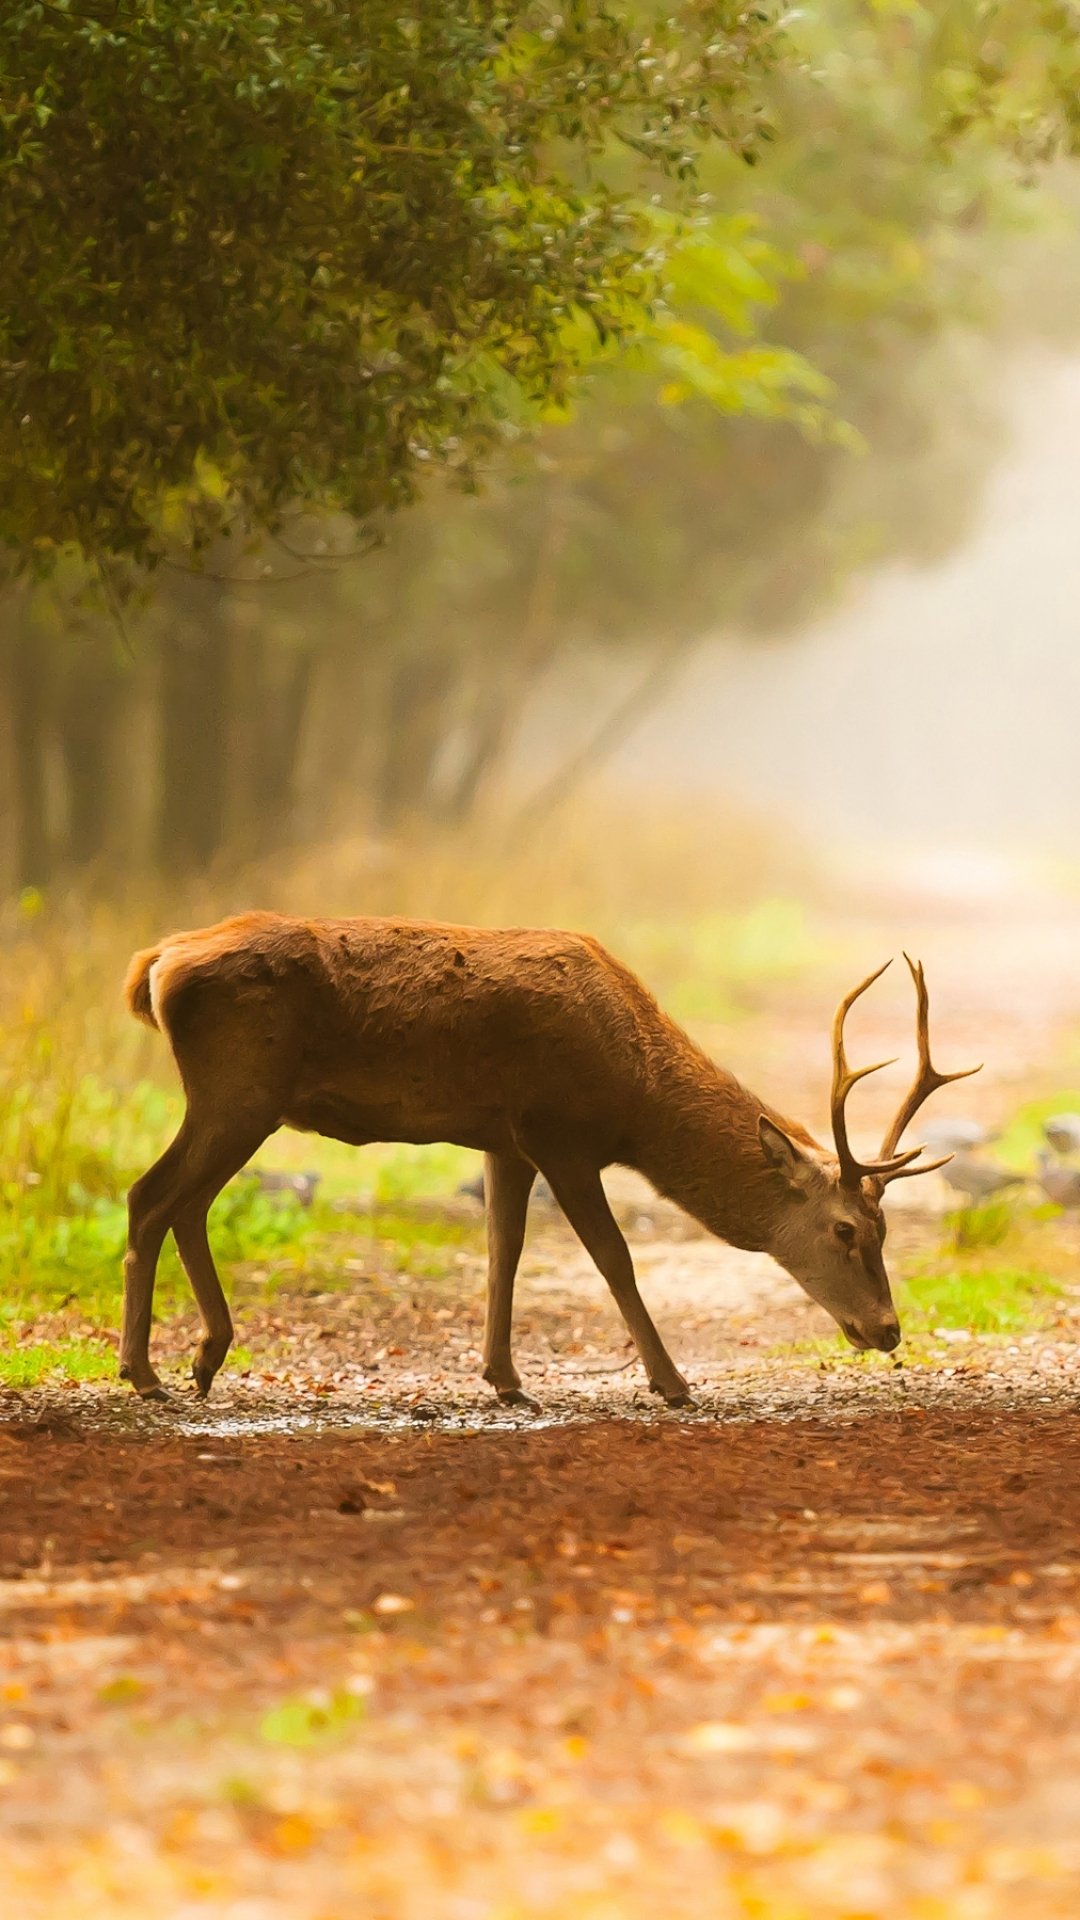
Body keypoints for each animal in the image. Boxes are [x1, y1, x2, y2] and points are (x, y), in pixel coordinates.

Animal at [119, 913, 978, 1405]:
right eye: (846, 1230)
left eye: (888, 1231)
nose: (888, 1329)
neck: (635, 1097)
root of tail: (155, 964)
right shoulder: (560, 1132)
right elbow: (614, 1258)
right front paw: (672, 1384)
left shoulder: (504, 1139)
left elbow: (503, 1249)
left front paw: (505, 1381)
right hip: (240, 1086)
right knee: (150, 1196)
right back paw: (147, 1372)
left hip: (238, 1099)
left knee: (182, 1202)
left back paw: (203, 1359)